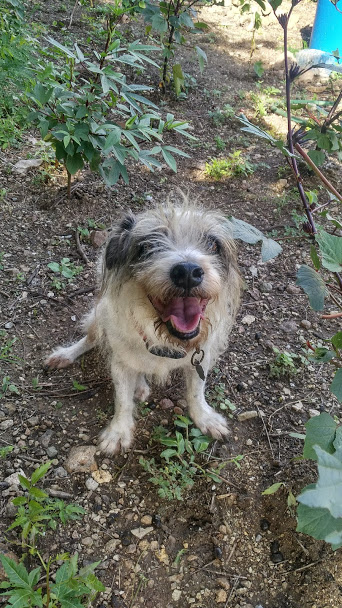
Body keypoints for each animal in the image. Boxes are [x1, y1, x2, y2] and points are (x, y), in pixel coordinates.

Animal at [45, 201, 242, 456]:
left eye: (212, 243)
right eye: (147, 245)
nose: (187, 272)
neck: (165, 341)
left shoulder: (201, 357)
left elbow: (196, 391)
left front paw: (205, 418)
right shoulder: (119, 362)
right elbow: (122, 399)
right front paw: (118, 432)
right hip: (99, 317)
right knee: (90, 339)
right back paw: (66, 355)